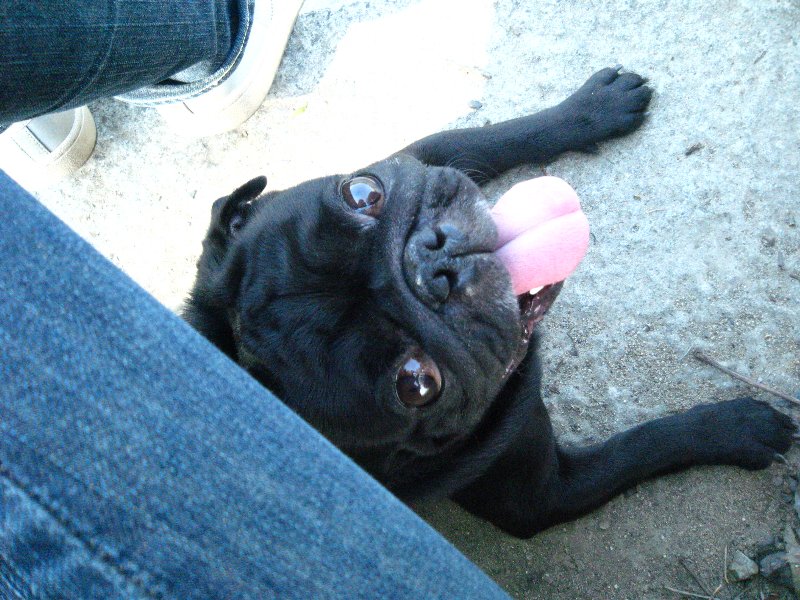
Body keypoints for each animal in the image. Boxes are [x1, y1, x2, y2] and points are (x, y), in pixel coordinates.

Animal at [183, 68, 794, 538]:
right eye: (416, 383)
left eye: (363, 193)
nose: (431, 265)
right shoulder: (544, 496)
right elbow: (641, 446)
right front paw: (735, 425)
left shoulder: (419, 155)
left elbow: (484, 137)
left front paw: (592, 107)